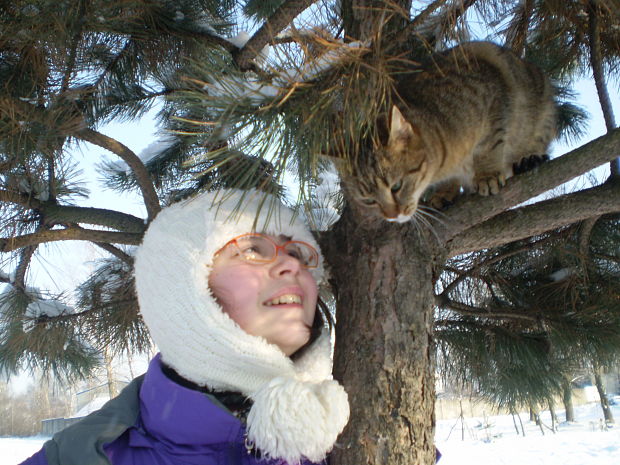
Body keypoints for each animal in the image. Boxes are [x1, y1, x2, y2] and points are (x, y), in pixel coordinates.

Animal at [344, 40, 556, 222]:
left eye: (396, 186)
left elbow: (487, 148)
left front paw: (486, 175)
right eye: (369, 200)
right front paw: (445, 191)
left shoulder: (493, 101)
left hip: (542, 113)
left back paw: (527, 159)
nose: (392, 216)